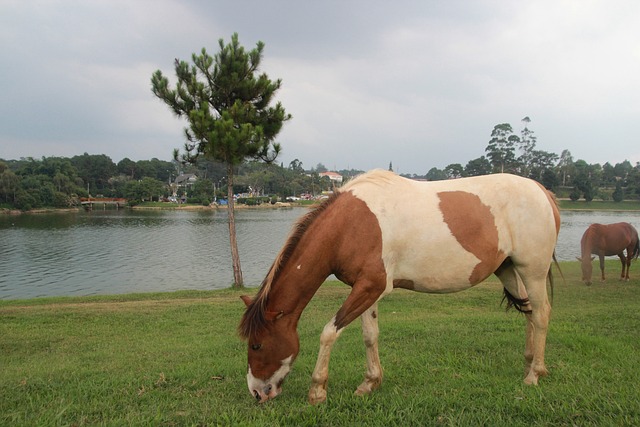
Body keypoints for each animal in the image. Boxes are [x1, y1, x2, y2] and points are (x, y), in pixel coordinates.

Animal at [239, 170, 560, 404]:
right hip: (507, 269)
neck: (350, 224)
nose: (256, 392)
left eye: (257, 344)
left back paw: (535, 374)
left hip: (532, 270)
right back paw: (529, 363)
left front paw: (317, 391)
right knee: (528, 312)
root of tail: (542, 191)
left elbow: (329, 332)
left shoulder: (370, 287)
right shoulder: (367, 289)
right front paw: (370, 382)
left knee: (542, 313)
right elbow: (370, 335)